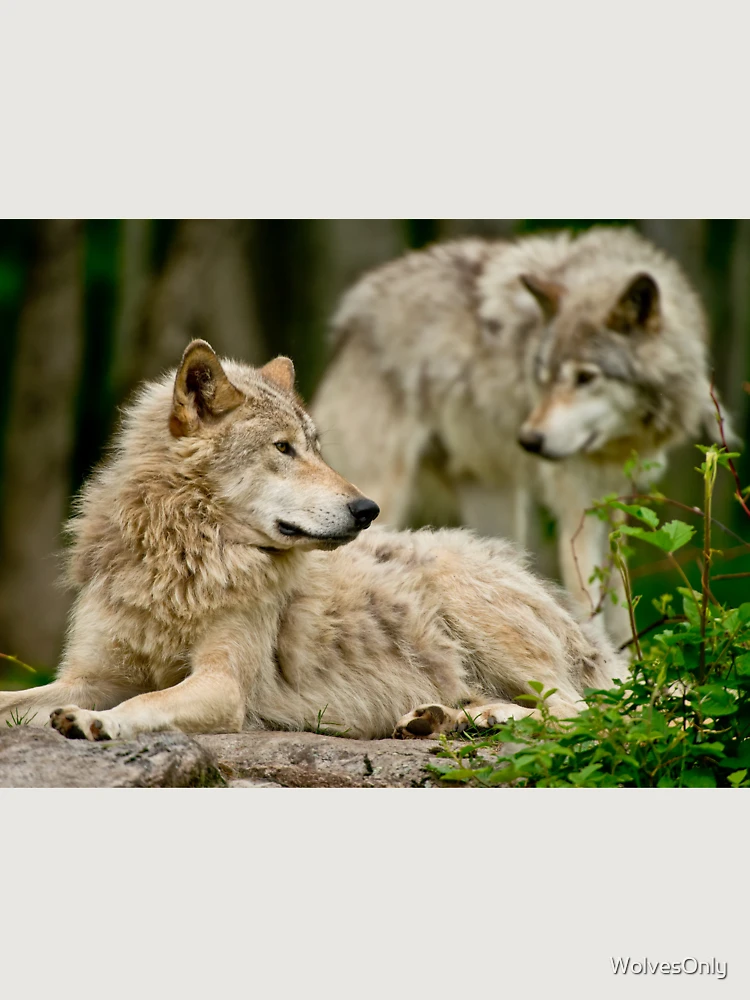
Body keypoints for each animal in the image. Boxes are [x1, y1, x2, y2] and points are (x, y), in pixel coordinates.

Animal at [0, 341, 621, 742]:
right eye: (284, 448)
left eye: (317, 447)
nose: (367, 510)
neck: (184, 557)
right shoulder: (86, 677)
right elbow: (16, 701)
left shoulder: (222, 685)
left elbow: (146, 700)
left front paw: (96, 721)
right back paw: (443, 719)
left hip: (477, 612)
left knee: (584, 711)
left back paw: (477, 720)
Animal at [311, 226, 732, 646]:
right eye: (543, 377)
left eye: (585, 377)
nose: (529, 441)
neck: (618, 442)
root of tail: (350, 317)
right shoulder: (576, 506)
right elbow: (588, 602)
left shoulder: (619, 504)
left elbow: (620, 606)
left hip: (496, 509)